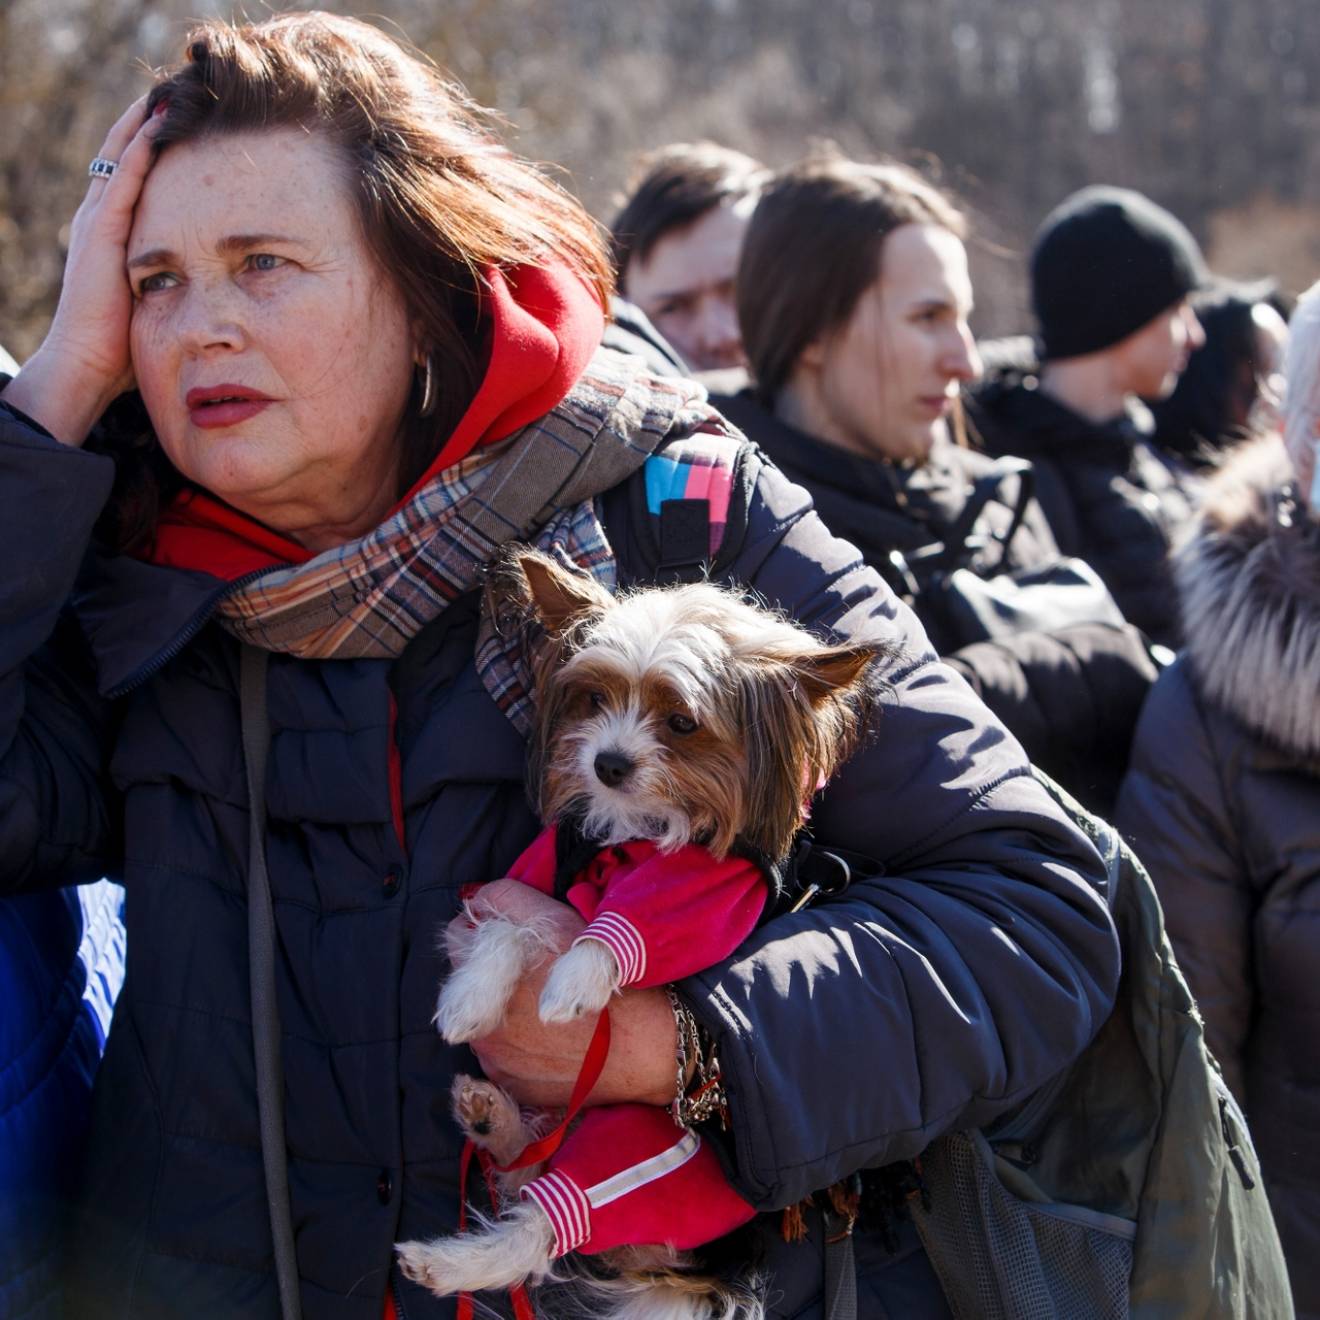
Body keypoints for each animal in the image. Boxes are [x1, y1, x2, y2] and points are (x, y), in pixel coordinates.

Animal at [396, 551, 881, 1320]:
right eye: (593, 698)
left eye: (682, 721)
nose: (608, 764)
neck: (629, 840)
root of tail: (691, 1265)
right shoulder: (528, 879)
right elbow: (515, 925)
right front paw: (469, 999)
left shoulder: (707, 899)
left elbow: (621, 932)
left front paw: (571, 983)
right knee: (525, 1172)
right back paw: (490, 1119)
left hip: (646, 1152)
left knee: (543, 1225)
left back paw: (447, 1262)